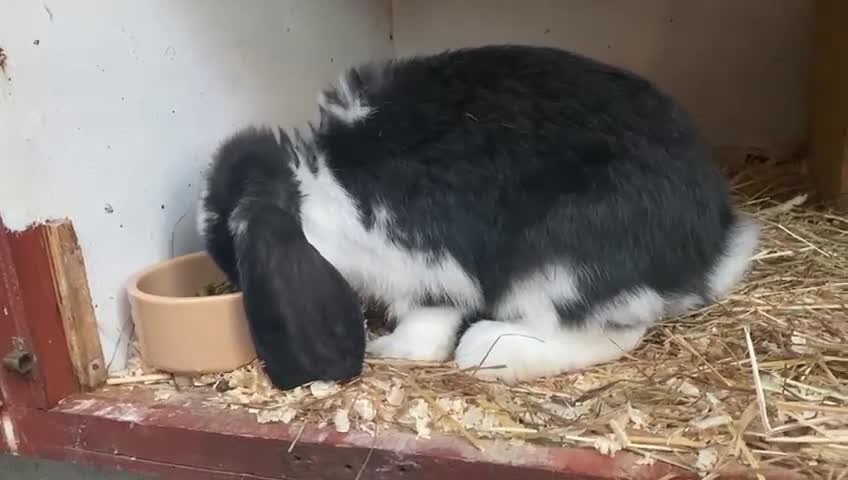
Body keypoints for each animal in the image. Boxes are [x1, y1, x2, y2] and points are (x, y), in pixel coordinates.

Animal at [197, 44, 760, 391]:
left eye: (228, 238)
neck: (314, 189)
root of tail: (707, 252)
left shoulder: (418, 264)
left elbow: (425, 326)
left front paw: (388, 349)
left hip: (558, 262)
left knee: (615, 330)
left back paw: (488, 348)